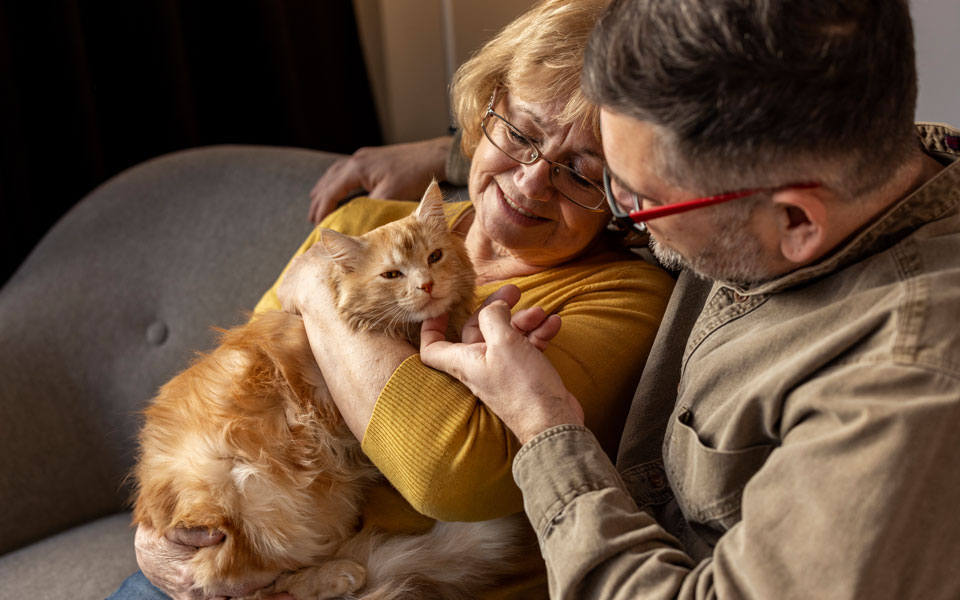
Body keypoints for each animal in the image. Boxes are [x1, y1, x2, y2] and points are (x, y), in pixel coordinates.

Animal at [131, 184, 516, 600]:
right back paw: (342, 574)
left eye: (435, 256)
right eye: (392, 274)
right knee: (261, 587)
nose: (426, 284)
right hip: (248, 508)